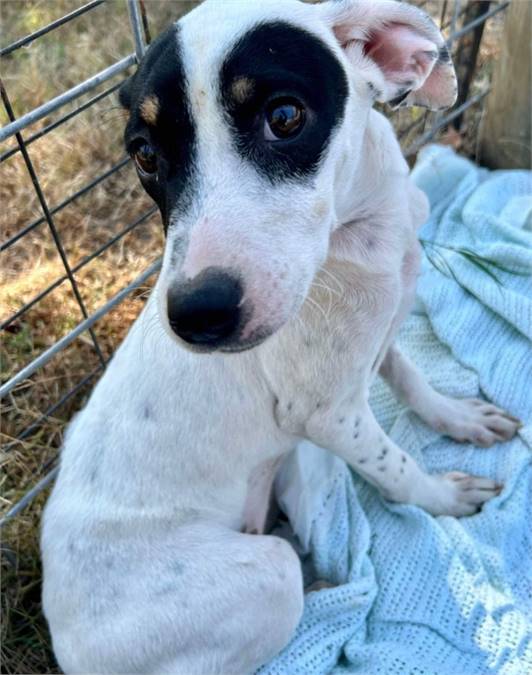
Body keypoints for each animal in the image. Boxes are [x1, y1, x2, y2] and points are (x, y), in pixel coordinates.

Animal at [42, 2, 524, 672]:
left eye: (285, 117)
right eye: (144, 156)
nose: (194, 316)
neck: (358, 241)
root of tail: (61, 642)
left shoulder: (376, 338)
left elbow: (410, 377)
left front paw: (459, 418)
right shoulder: (326, 415)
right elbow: (396, 465)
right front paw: (442, 499)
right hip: (264, 579)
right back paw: (322, 580)